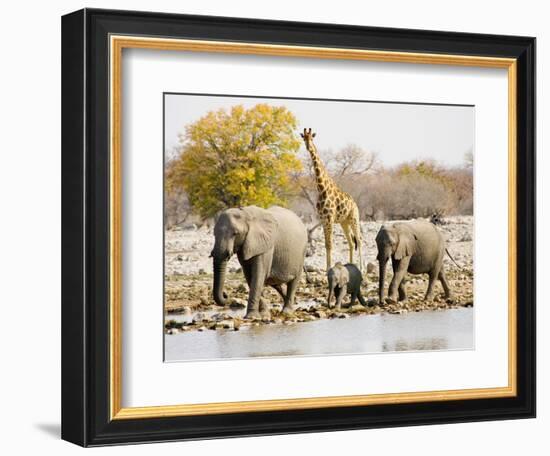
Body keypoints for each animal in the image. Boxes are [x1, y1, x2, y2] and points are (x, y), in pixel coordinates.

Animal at [300, 126, 364, 272]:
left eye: (312, 138)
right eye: (304, 138)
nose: (309, 147)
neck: (321, 189)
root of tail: (355, 204)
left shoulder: (329, 218)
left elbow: (330, 244)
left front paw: (329, 268)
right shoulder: (323, 219)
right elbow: (326, 244)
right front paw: (327, 268)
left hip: (354, 218)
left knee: (359, 240)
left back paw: (361, 268)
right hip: (344, 222)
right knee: (351, 242)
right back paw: (351, 265)